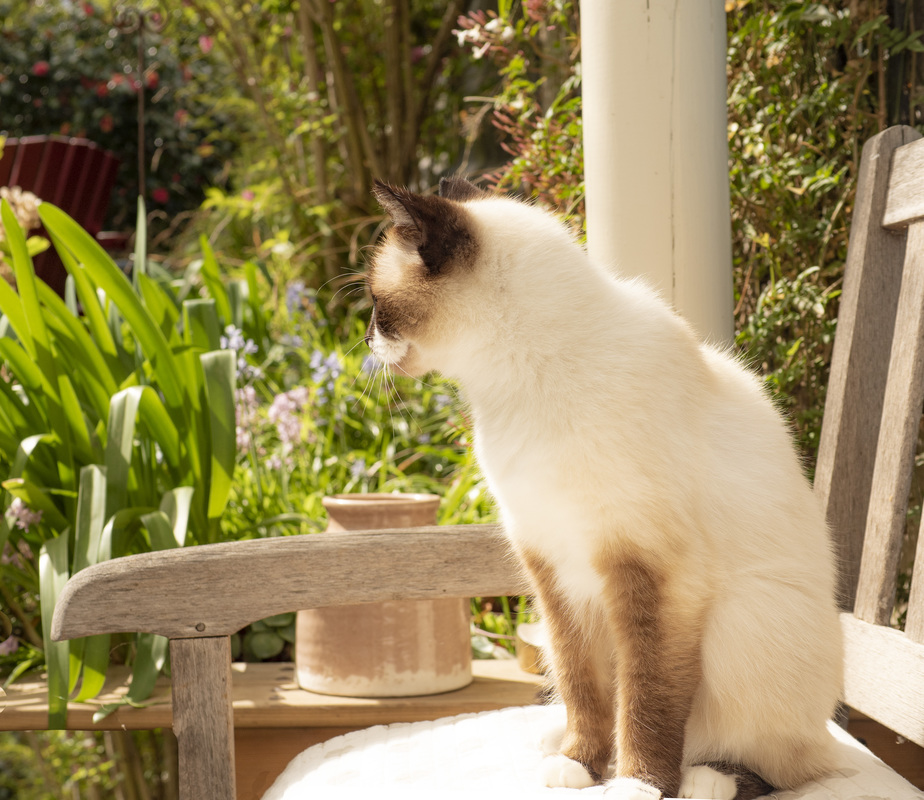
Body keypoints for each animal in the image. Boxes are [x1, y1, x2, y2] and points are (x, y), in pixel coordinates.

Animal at [360, 178, 844, 800]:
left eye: (378, 305)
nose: (365, 337)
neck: (519, 385)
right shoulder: (552, 567)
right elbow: (583, 685)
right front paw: (580, 765)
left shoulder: (651, 570)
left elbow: (646, 698)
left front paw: (636, 783)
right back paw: (555, 740)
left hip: (747, 617)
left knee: (791, 766)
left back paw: (704, 778)